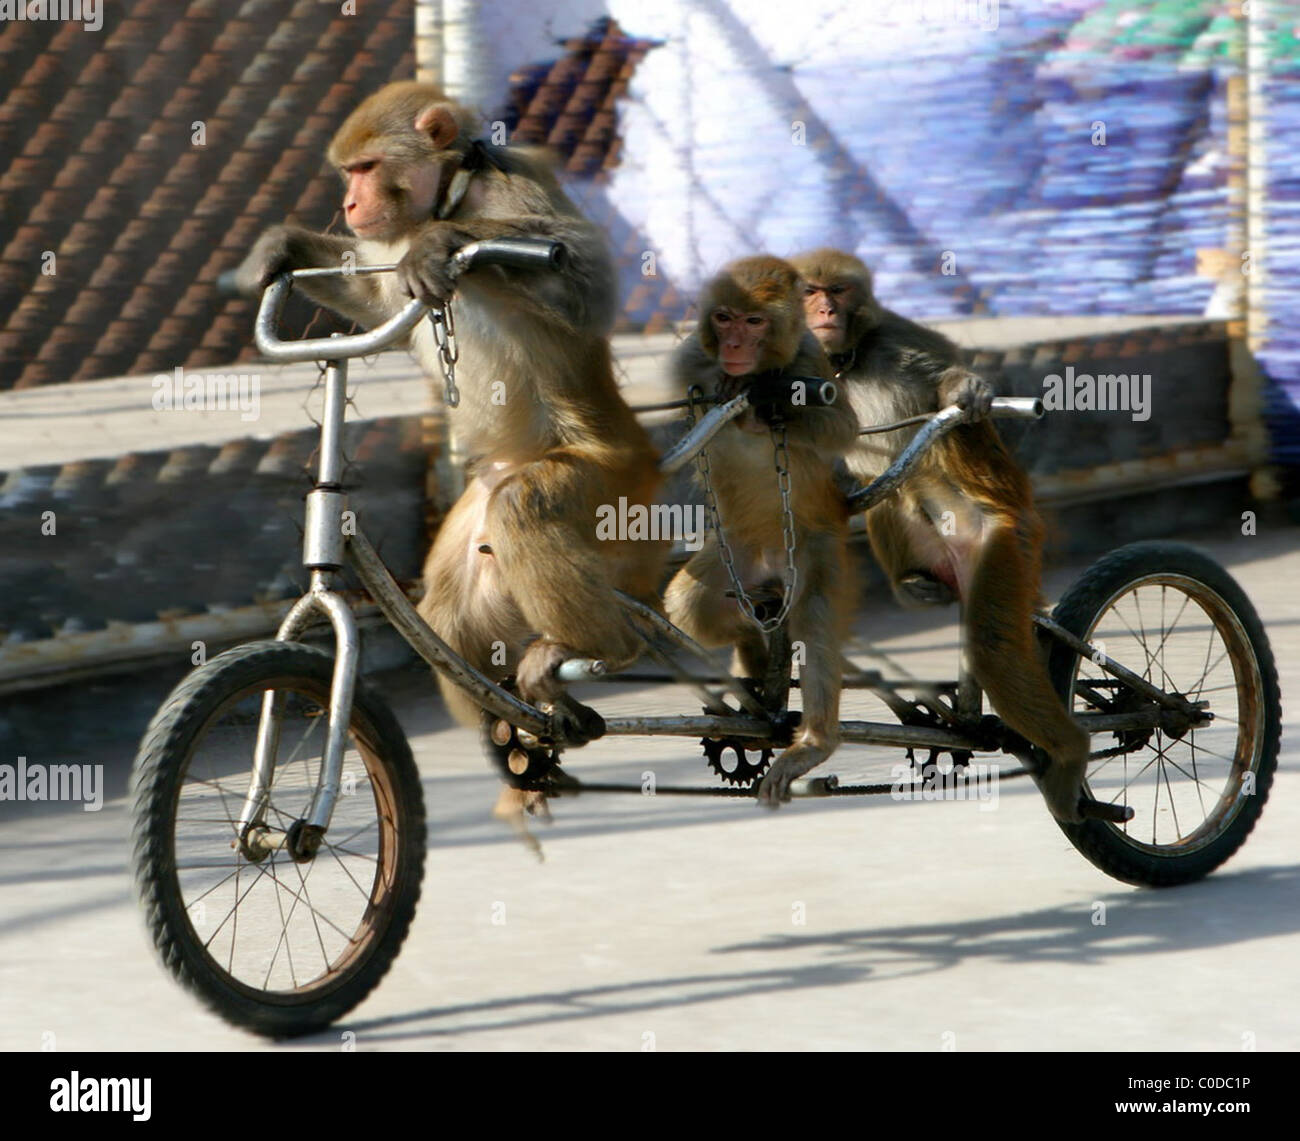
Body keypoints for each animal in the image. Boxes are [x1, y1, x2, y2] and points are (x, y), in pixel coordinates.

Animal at [660, 257, 863, 810]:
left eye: (754, 323)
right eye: (724, 318)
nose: (733, 346)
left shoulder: (811, 359)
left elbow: (842, 425)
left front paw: (771, 398)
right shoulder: (689, 362)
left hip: (816, 547)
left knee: (815, 619)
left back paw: (814, 743)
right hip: (738, 556)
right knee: (693, 607)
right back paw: (756, 642)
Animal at [785, 249, 1092, 826]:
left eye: (838, 289)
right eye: (810, 290)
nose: (824, 310)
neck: (848, 360)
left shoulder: (902, 343)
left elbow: (945, 383)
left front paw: (964, 392)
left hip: (1006, 541)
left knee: (992, 642)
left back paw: (1070, 753)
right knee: (885, 493)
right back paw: (914, 583)